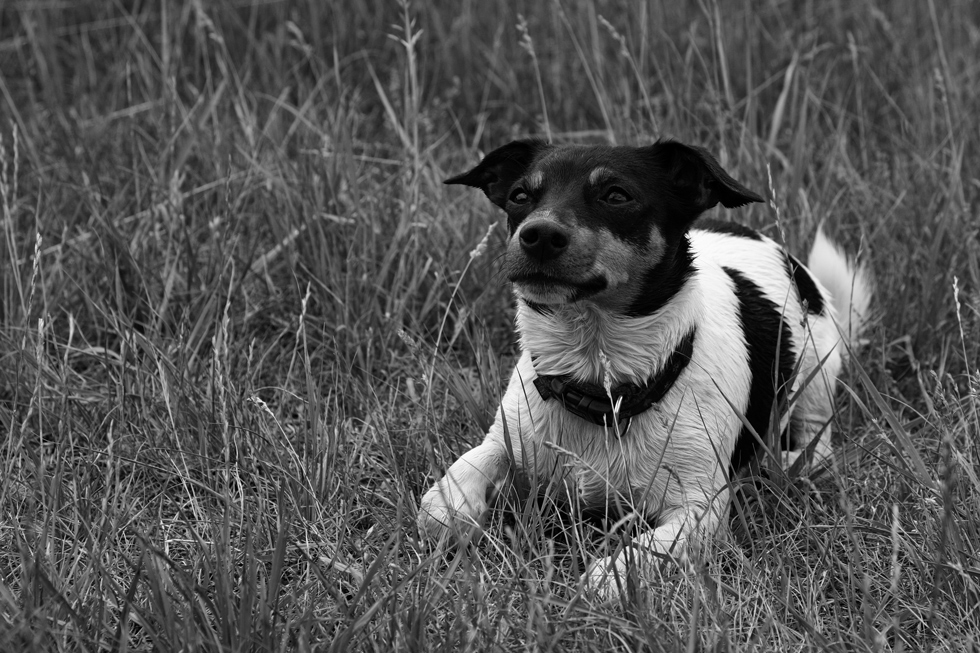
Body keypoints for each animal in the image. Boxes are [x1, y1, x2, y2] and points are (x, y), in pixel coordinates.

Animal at [418, 139, 876, 600]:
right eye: (519, 196)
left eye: (617, 195)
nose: (539, 234)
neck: (601, 393)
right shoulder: (509, 436)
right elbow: (446, 496)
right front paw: (456, 515)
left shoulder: (699, 506)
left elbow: (644, 551)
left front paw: (607, 578)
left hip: (818, 373)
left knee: (818, 444)